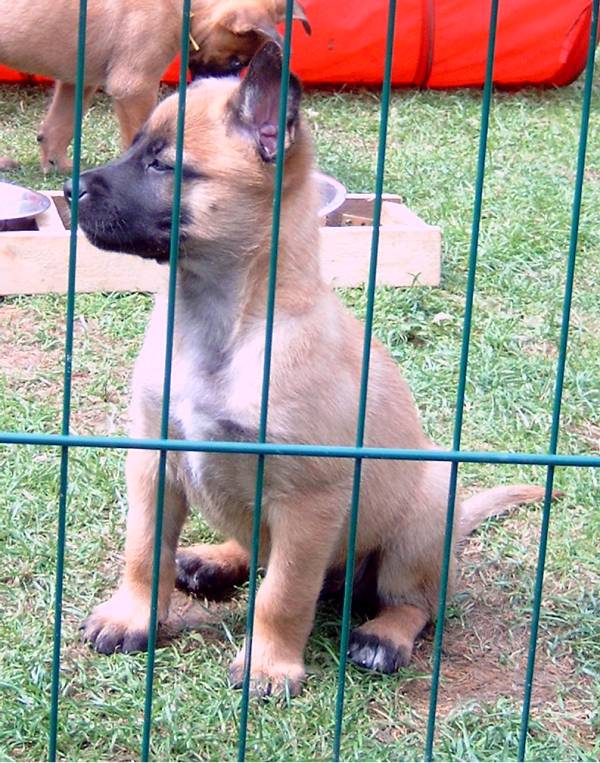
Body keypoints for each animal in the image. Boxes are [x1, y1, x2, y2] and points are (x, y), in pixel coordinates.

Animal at [0, 0, 310, 172]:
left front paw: (56, 167)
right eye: (236, 62)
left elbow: (59, 125)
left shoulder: (79, 79)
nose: (214, 83)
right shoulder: (136, 87)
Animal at [65, 41, 549, 696]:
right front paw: (132, 617)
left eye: (163, 166)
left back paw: (381, 635)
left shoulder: (307, 502)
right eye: (134, 148)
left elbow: (284, 594)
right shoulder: (152, 460)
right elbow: (144, 553)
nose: (70, 189)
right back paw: (215, 560)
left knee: (415, 603)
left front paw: (268, 666)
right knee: (256, 549)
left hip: (419, 524)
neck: (222, 323)